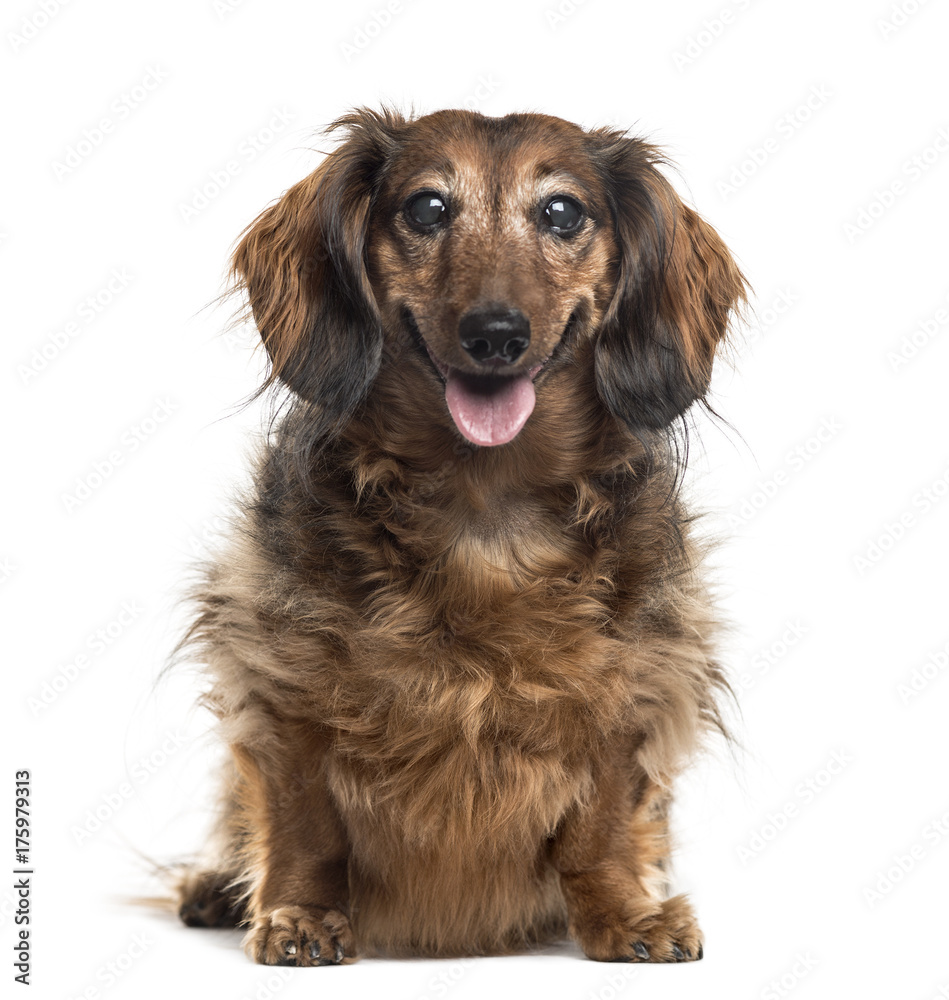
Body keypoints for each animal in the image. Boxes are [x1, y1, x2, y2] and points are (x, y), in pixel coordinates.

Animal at [174, 109, 744, 968]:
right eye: (427, 208)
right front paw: (301, 914)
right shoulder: (282, 675)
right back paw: (217, 886)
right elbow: (304, 819)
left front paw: (623, 915)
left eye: (561, 212)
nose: (495, 334)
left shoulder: (638, 680)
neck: (485, 507)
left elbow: (603, 823)